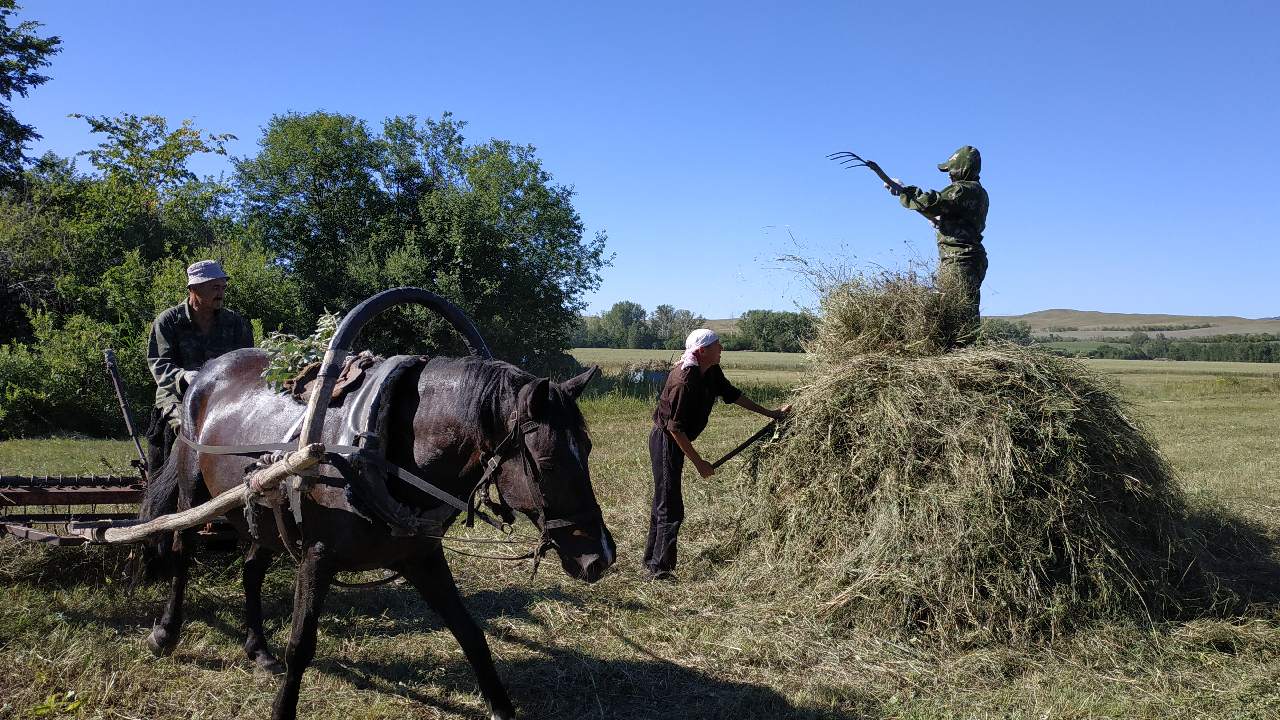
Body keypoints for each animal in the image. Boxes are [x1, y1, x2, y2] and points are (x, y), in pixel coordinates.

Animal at [140, 348, 614, 717]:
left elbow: (471, 633)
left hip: (261, 512)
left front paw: (501, 706)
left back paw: (257, 649)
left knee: (252, 567)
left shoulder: (421, 557)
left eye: (588, 448)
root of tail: (204, 372)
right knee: (181, 549)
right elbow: (301, 645)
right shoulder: (317, 556)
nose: (602, 557)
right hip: (192, 488)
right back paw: (165, 632)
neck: (379, 453)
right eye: (547, 462)